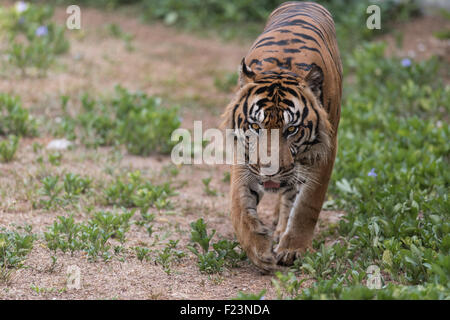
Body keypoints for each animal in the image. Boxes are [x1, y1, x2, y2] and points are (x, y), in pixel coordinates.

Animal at [221, 1, 342, 272]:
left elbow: (307, 205)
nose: (270, 172)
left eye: (291, 129)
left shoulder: (324, 153)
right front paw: (258, 249)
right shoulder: (244, 156)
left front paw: (292, 249)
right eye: (255, 126)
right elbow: (238, 206)